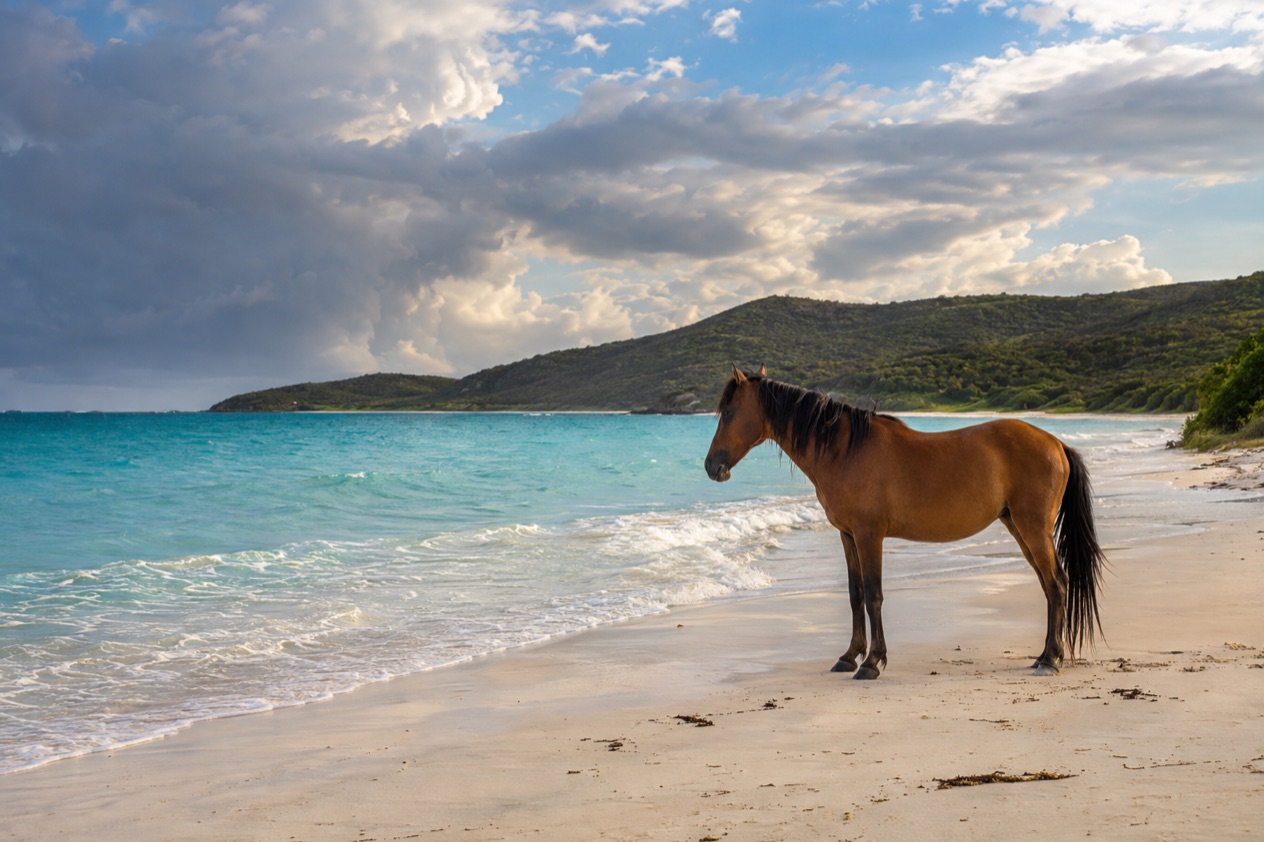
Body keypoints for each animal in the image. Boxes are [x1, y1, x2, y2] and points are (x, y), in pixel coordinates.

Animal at [704, 365, 1106, 680]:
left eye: (729, 412)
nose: (711, 467)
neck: (845, 450)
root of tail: (1056, 444)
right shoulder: (848, 536)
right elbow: (854, 595)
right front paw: (849, 657)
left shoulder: (869, 536)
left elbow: (873, 595)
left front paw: (872, 662)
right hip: (1019, 527)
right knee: (1050, 585)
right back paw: (1044, 656)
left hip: (1033, 528)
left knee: (1056, 584)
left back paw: (1050, 659)